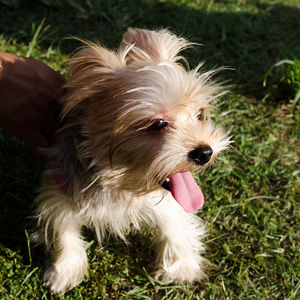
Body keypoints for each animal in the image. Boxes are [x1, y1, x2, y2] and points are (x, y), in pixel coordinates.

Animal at [33, 28, 230, 296]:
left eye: (199, 114)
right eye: (157, 124)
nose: (204, 152)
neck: (122, 179)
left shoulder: (166, 200)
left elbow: (174, 222)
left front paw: (180, 266)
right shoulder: (60, 186)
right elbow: (63, 227)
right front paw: (64, 270)